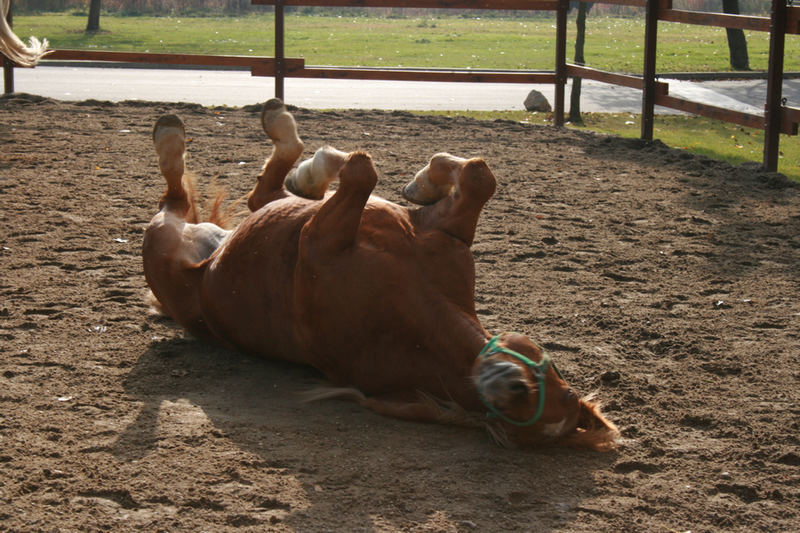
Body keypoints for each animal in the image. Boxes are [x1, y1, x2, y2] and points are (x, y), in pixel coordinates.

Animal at [144, 98, 620, 448]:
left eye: (559, 399)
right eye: (560, 378)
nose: (513, 388)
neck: (414, 313)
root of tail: (206, 258)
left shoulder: (318, 241)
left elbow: (362, 169)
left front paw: (326, 170)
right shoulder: (443, 232)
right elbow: (477, 176)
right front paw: (422, 182)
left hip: (162, 242)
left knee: (176, 195)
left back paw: (175, 136)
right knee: (263, 190)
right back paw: (282, 140)